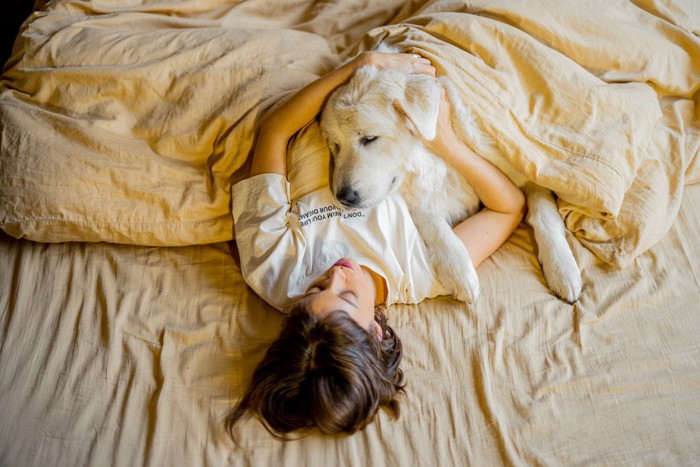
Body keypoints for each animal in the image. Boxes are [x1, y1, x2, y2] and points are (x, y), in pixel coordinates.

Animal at [320, 45, 584, 306]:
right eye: (336, 146)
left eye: (369, 138)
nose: (343, 197)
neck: (436, 162)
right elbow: (431, 221)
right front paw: (459, 269)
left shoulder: (527, 170)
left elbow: (544, 217)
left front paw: (563, 270)